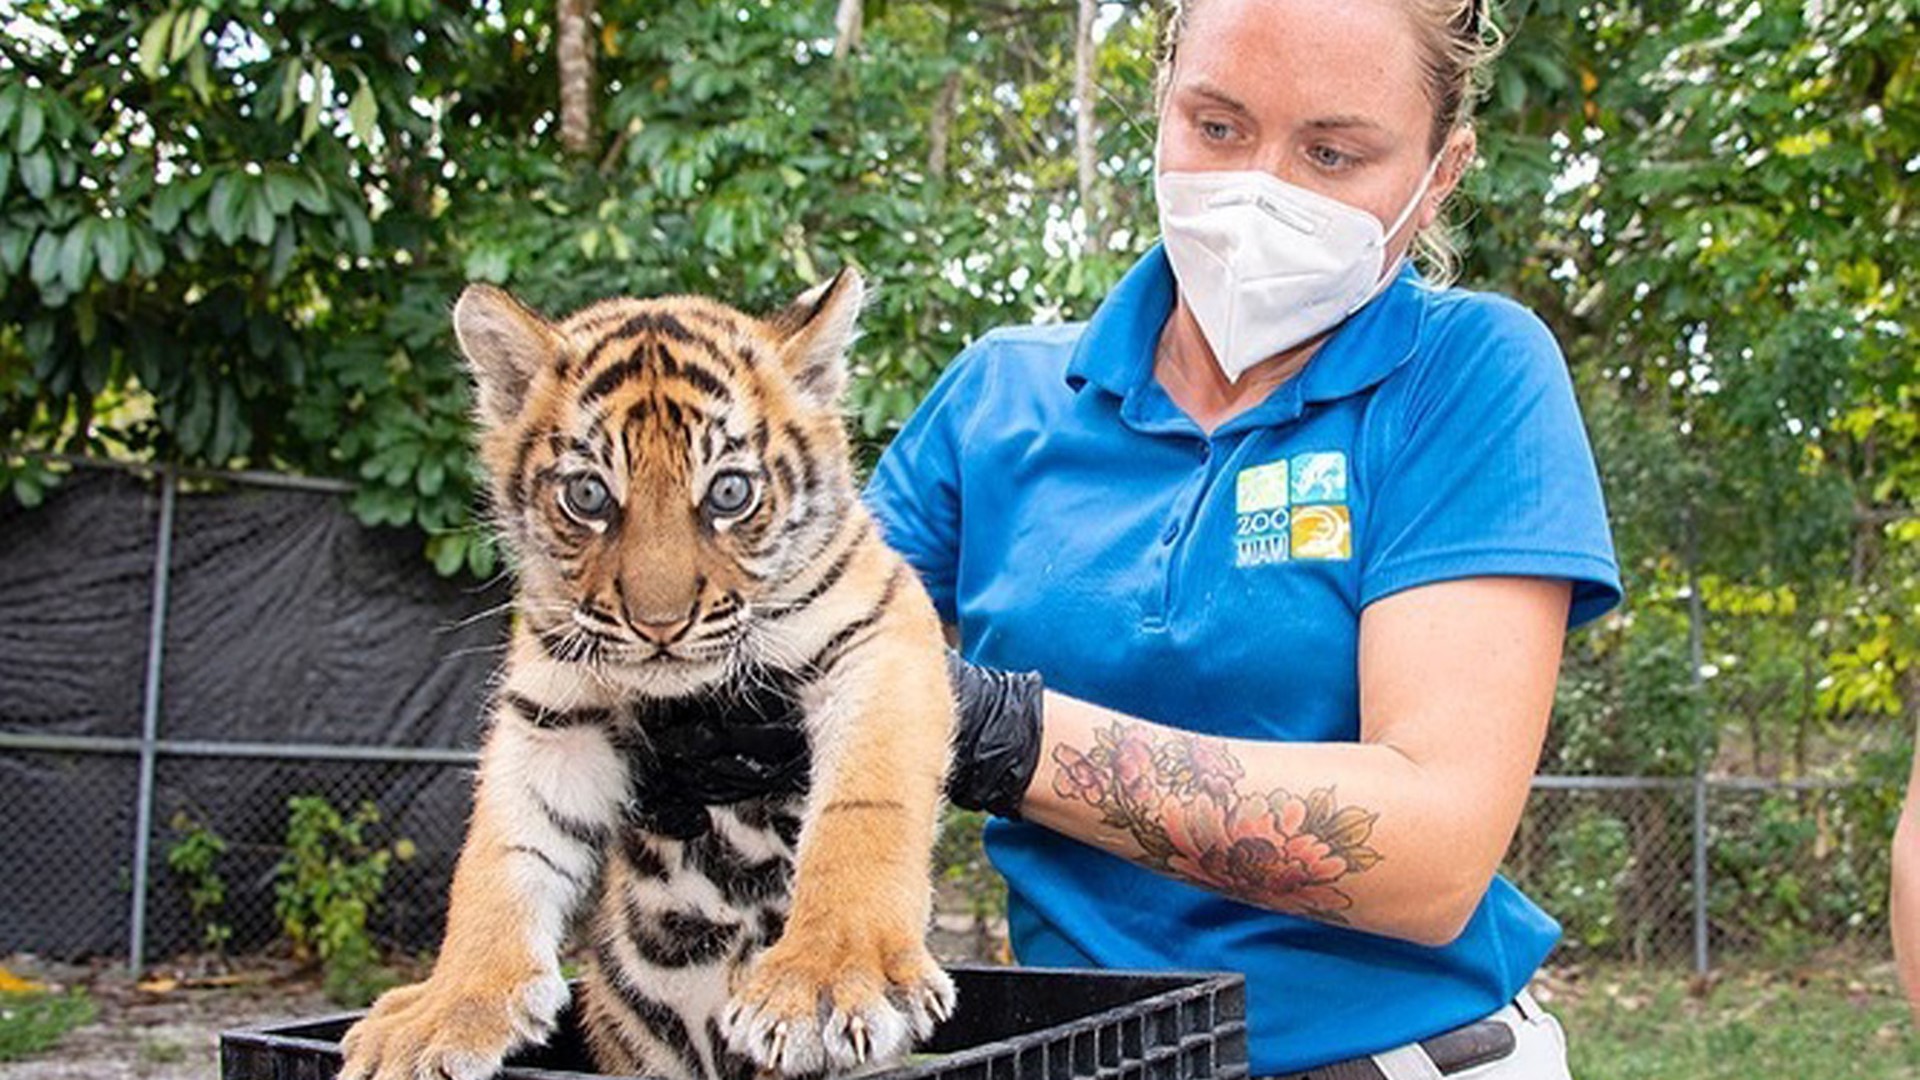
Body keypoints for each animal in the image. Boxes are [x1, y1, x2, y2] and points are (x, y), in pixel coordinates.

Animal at [338, 268, 959, 1080]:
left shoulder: (879, 638)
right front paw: (448, 1007)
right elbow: (500, 852)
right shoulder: (552, 714)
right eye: (588, 496)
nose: (659, 625)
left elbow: (864, 809)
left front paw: (828, 983)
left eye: (729, 493)